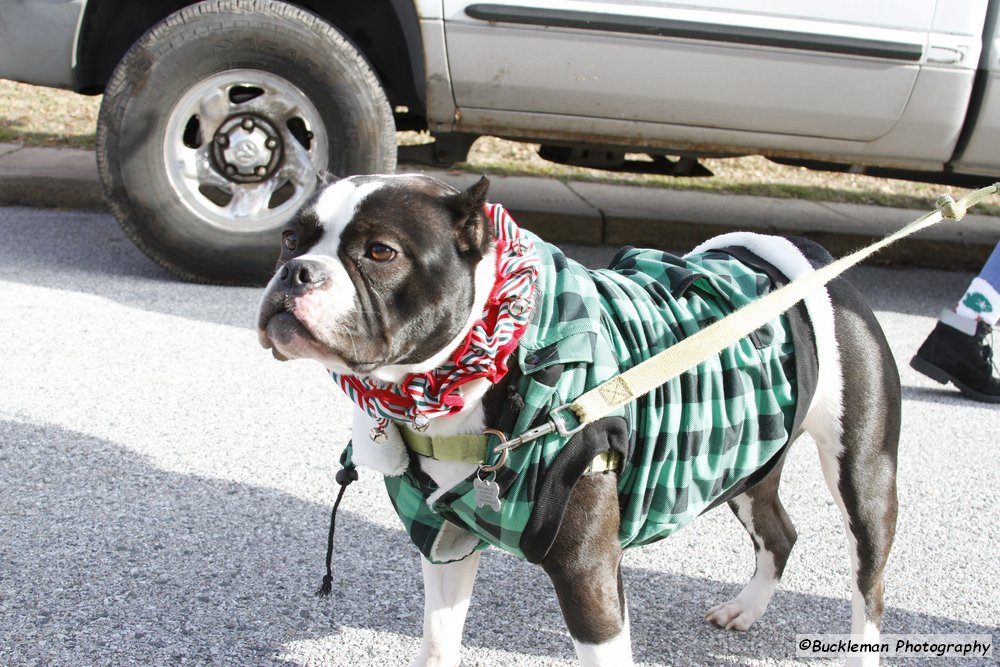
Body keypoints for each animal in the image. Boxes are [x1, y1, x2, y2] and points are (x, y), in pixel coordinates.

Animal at [256, 174, 900, 667]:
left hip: (862, 475)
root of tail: (809, 257)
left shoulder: (587, 575)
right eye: (288, 238)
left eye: (381, 253)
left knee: (868, 584)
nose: (297, 271)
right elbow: (439, 644)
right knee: (778, 531)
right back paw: (746, 608)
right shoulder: (445, 542)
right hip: (747, 454)